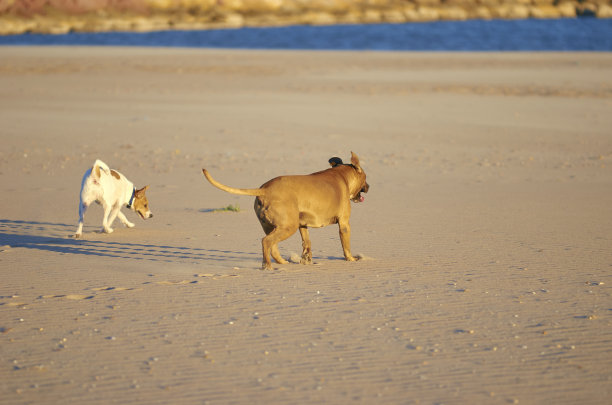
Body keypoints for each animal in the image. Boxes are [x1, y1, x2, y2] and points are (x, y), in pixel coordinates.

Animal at [202, 152, 368, 268]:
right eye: (366, 179)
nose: (369, 186)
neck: (342, 176)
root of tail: (265, 190)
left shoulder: (302, 224)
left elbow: (306, 242)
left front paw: (306, 259)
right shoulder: (344, 224)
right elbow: (346, 246)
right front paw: (351, 258)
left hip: (276, 226)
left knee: (273, 246)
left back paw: (281, 262)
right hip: (288, 227)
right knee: (266, 242)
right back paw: (267, 266)